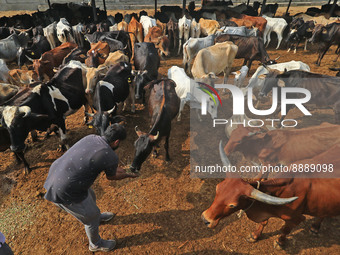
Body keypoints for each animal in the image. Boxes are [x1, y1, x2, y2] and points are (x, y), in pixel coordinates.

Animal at [202, 142, 340, 250]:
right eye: (217, 188)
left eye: (232, 205)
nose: (205, 218)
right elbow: (263, 223)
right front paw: (254, 235)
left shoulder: (296, 218)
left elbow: (285, 230)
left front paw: (280, 243)